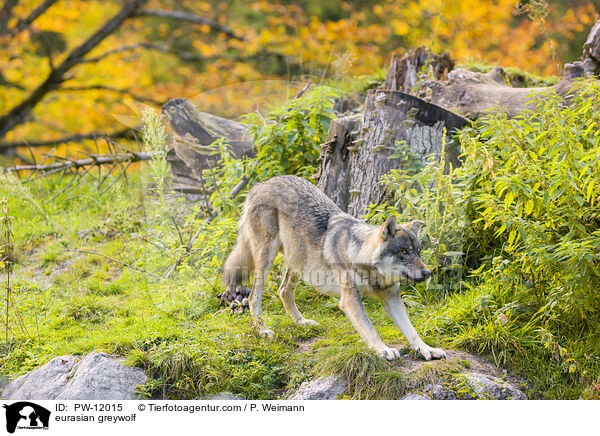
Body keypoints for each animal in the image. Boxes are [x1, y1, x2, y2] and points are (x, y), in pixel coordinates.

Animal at [224, 174, 446, 362]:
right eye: (404, 252)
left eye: (418, 252)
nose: (427, 273)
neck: (363, 260)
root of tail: (259, 184)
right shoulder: (350, 301)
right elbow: (370, 328)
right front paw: (383, 349)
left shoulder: (393, 300)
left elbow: (412, 331)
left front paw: (427, 349)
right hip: (266, 259)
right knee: (253, 297)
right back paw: (263, 330)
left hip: (298, 263)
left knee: (283, 291)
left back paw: (302, 322)